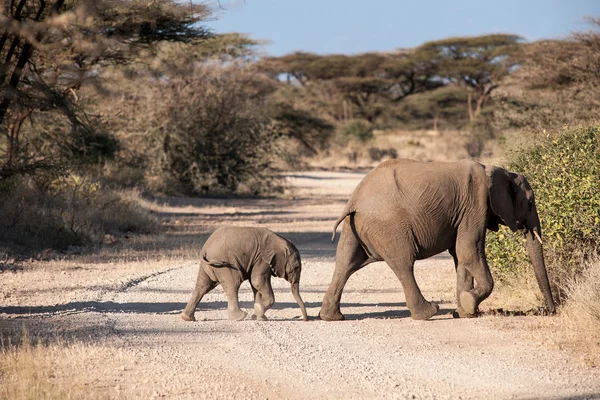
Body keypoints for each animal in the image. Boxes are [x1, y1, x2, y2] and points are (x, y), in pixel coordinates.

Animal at [180, 227, 308, 320]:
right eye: (296, 267)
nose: (300, 318)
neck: (280, 242)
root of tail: (205, 249)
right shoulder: (262, 259)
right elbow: (257, 281)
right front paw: (259, 313)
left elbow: (255, 286)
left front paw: (259, 317)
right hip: (225, 264)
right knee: (233, 284)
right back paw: (240, 317)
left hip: (208, 266)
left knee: (203, 286)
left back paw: (187, 318)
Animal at [322, 158, 556, 320]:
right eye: (530, 204)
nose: (550, 311)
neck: (497, 170)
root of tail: (354, 200)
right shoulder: (475, 204)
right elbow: (468, 251)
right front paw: (468, 304)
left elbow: (461, 257)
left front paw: (464, 312)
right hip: (389, 226)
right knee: (404, 265)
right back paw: (429, 313)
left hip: (354, 227)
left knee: (345, 264)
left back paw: (331, 317)